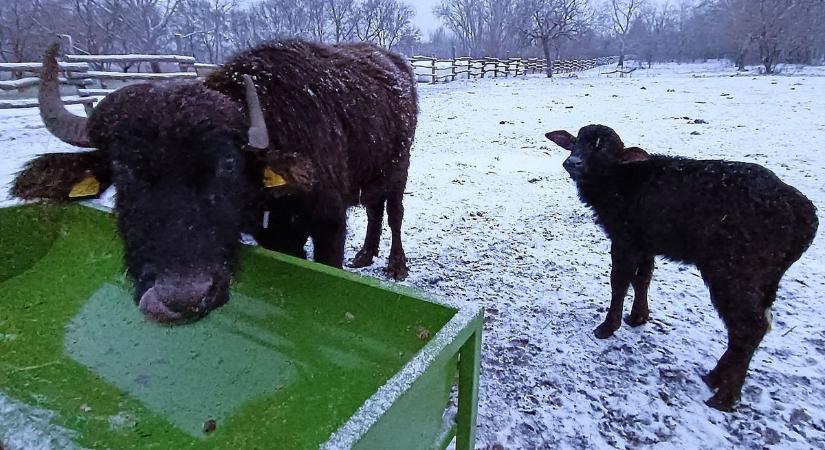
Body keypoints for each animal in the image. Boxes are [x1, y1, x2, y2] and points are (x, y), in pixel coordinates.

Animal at [14, 40, 418, 324]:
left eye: (227, 163)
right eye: (123, 168)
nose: (181, 298)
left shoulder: (329, 224)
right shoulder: (273, 233)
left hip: (400, 167)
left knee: (393, 212)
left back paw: (396, 265)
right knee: (374, 209)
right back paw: (365, 254)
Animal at [548, 124, 816, 412]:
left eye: (604, 148)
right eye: (576, 142)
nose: (572, 162)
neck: (621, 181)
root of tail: (806, 216)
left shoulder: (625, 238)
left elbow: (619, 281)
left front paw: (608, 327)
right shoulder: (645, 241)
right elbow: (642, 278)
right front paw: (637, 317)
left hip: (735, 270)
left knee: (748, 326)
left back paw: (725, 397)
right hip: (767, 278)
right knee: (754, 326)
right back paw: (716, 377)